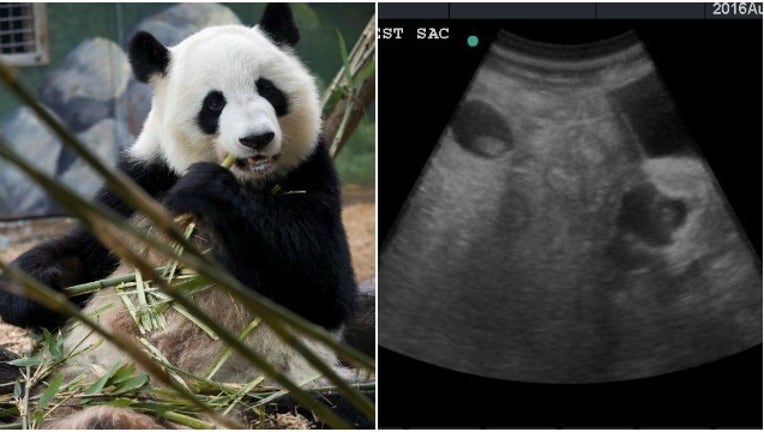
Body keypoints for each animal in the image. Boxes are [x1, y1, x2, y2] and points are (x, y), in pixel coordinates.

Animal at [0, 4, 358, 428]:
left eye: (267, 89)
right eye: (214, 104)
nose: (257, 139)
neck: (252, 181)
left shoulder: (310, 173)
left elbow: (321, 282)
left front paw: (210, 190)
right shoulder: (139, 185)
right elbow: (82, 252)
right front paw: (46, 281)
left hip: (277, 388)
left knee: (332, 404)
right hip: (63, 373)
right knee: (13, 375)